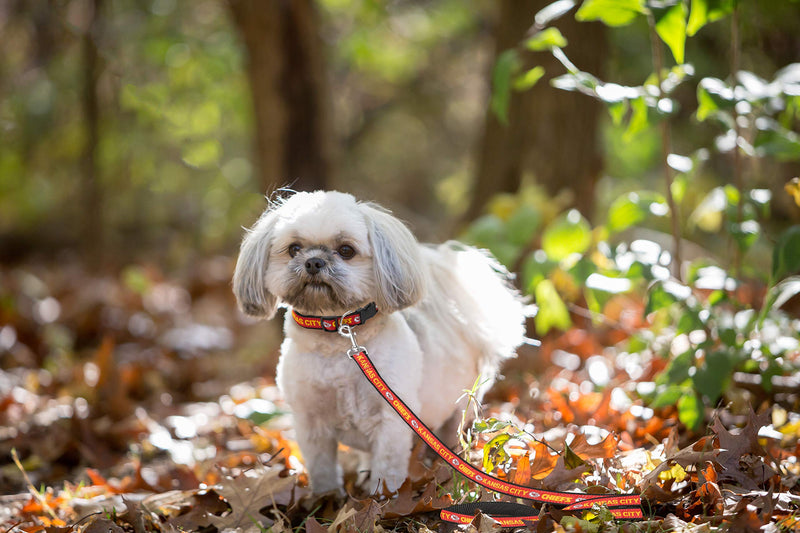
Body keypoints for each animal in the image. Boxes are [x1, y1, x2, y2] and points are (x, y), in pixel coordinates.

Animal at [234, 189, 528, 492]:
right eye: (294, 248)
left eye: (346, 250)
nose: (314, 262)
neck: (337, 340)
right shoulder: (310, 423)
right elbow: (322, 469)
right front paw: (326, 497)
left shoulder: (392, 419)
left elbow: (386, 469)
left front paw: (382, 497)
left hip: (459, 407)